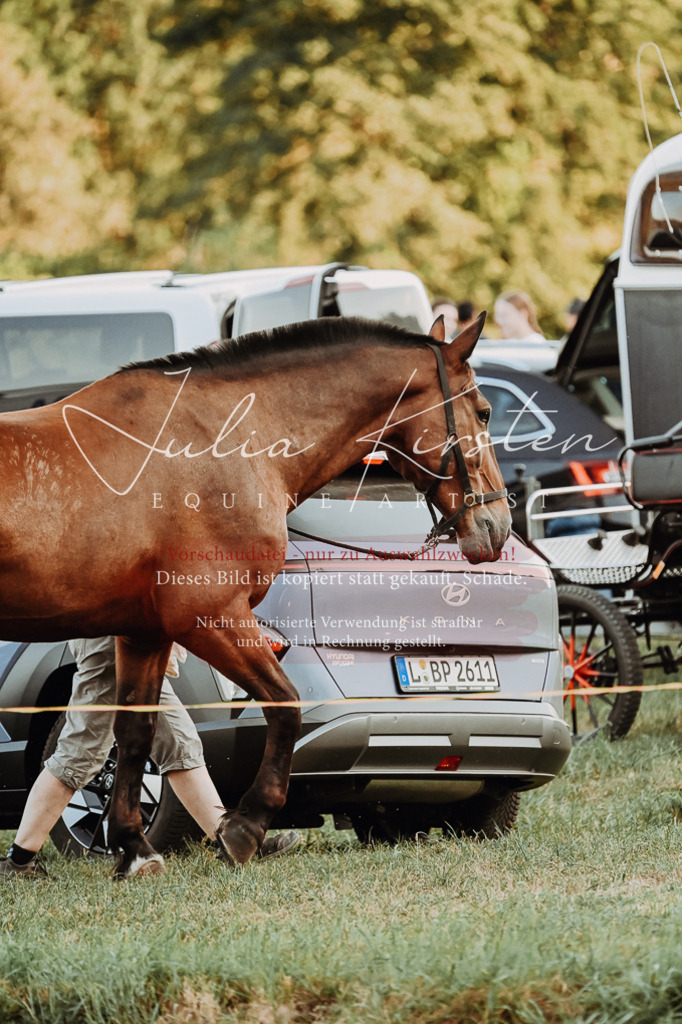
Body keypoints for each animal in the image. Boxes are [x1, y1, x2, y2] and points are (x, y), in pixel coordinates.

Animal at [0, 312, 510, 878]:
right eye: (484, 411)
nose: (498, 526)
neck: (220, 446)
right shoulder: (212, 618)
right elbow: (285, 705)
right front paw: (245, 827)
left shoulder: (144, 632)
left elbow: (135, 733)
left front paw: (134, 849)